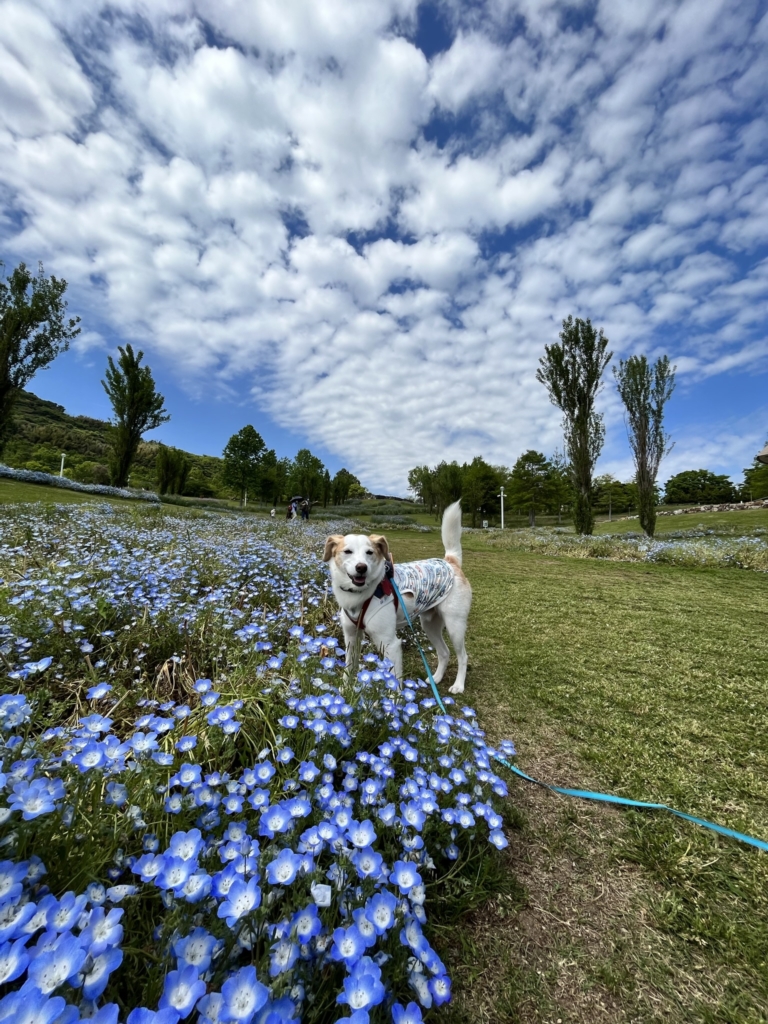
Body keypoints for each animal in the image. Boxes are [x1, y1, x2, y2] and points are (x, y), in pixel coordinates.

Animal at [323, 499, 473, 692]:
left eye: (370, 552)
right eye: (347, 551)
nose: (361, 568)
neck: (362, 595)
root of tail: (450, 562)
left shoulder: (390, 644)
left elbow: (394, 682)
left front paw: (393, 700)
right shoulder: (351, 638)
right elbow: (348, 669)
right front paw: (343, 692)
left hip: (455, 626)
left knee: (463, 656)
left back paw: (458, 685)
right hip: (430, 625)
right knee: (444, 652)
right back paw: (436, 678)